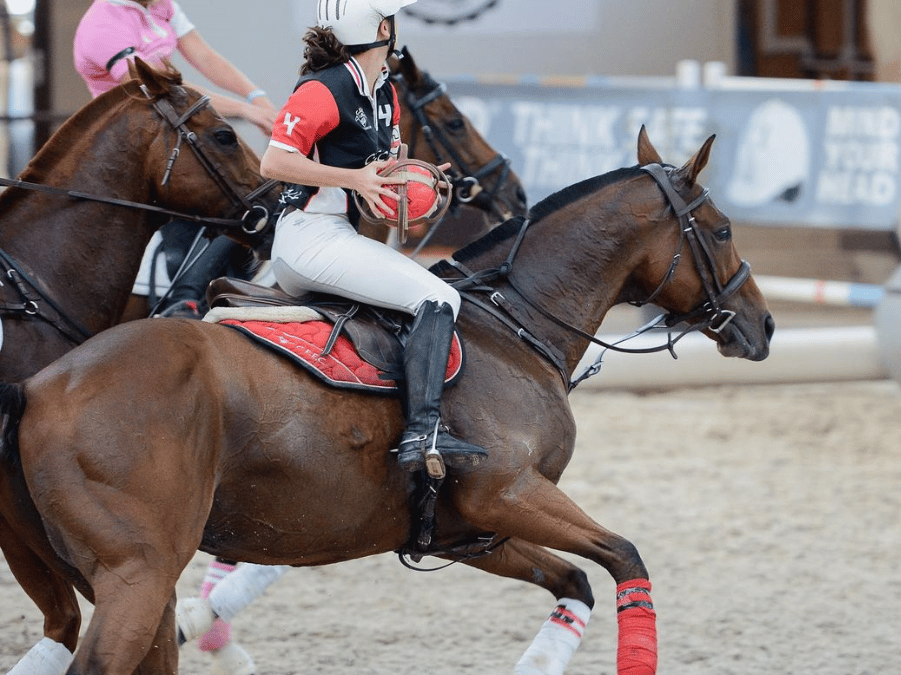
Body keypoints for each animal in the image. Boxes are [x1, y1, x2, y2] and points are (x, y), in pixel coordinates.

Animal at [0, 128, 772, 675]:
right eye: (723, 229)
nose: (762, 325)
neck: (511, 327)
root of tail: (38, 386)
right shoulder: (507, 493)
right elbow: (626, 557)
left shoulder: (470, 531)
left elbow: (577, 581)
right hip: (137, 577)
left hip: (93, 576)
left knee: (73, 632)